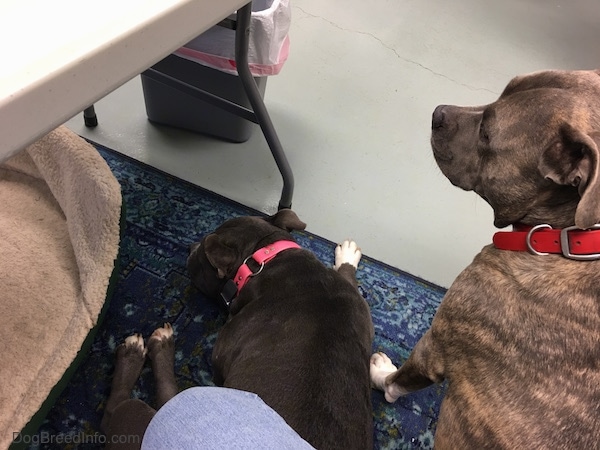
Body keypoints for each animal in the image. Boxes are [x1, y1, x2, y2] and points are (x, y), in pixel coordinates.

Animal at [103, 210, 376, 450]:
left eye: (197, 256)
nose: (190, 246)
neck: (269, 261)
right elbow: (349, 278)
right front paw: (348, 256)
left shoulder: (220, 362)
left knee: (123, 407)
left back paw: (144, 350)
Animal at [370, 68, 600, 448]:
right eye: (504, 88)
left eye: (487, 133)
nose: (437, 113)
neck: (561, 236)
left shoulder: (436, 345)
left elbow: (397, 381)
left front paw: (380, 372)